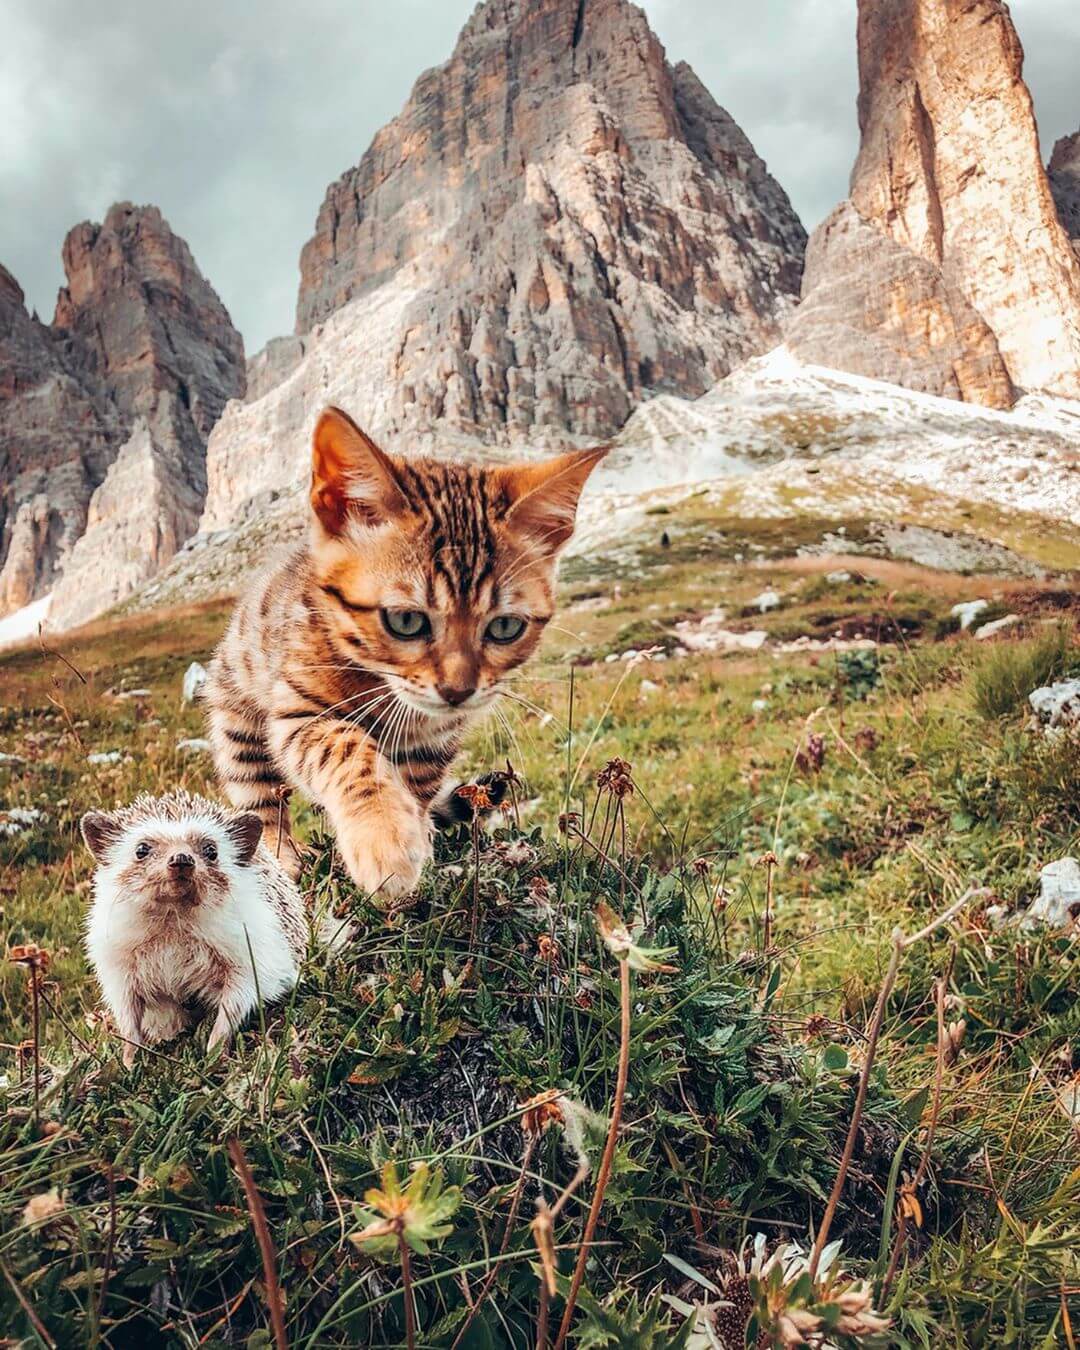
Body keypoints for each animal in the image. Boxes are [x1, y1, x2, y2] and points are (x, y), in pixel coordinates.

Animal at [205, 405, 607, 901]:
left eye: (505, 627)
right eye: (405, 620)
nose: (458, 691)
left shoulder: (435, 741)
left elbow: (417, 790)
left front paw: (417, 837)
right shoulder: (298, 713)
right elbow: (347, 750)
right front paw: (383, 836)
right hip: (237, 725)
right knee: (261, 803)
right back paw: (280, 860)